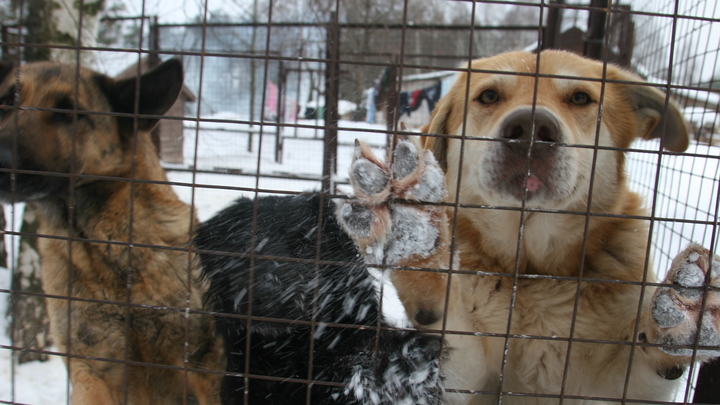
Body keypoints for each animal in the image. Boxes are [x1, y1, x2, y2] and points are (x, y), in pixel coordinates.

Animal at [340, 50, 720, 404]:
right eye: (489, 96)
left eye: (580, 97)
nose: (531, 130)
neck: (534, 270)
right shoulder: (464, 378)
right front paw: (417, 244)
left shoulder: (605, 389)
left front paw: (686, 317)